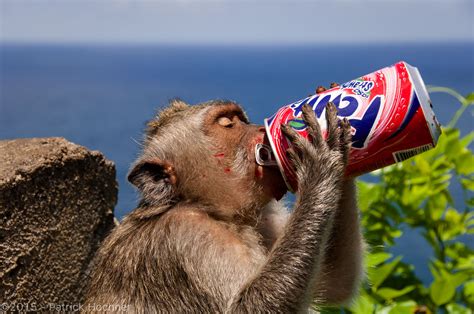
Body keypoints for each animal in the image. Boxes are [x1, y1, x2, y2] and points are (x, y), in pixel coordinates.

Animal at [82, 96, 362, 314]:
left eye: (241, 119)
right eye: (227, 124)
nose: (261, 130)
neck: (213, 209)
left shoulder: (265, 214)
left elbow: (333, 282)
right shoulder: (187, 234)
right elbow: (249, 308)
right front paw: (320, 163)